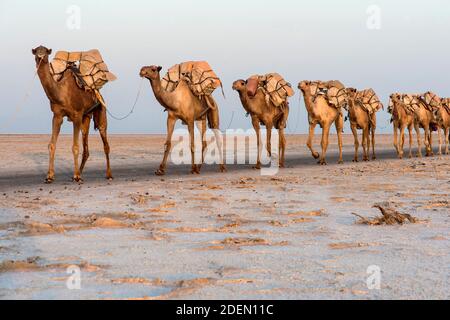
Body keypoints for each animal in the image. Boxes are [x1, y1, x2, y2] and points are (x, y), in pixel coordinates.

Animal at [31, 46, 111, 184]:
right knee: (86, 148)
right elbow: (52, 145)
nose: (40, 56)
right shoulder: (57, 116)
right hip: (86, 117)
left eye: (46, 51)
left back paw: (108, 175)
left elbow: (75, 147)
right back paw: (80, 172)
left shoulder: (77, 115)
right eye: (36, 51)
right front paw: (49, 176)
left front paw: (76, 176)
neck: (62, 93)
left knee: (105, 142)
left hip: (101, 111)